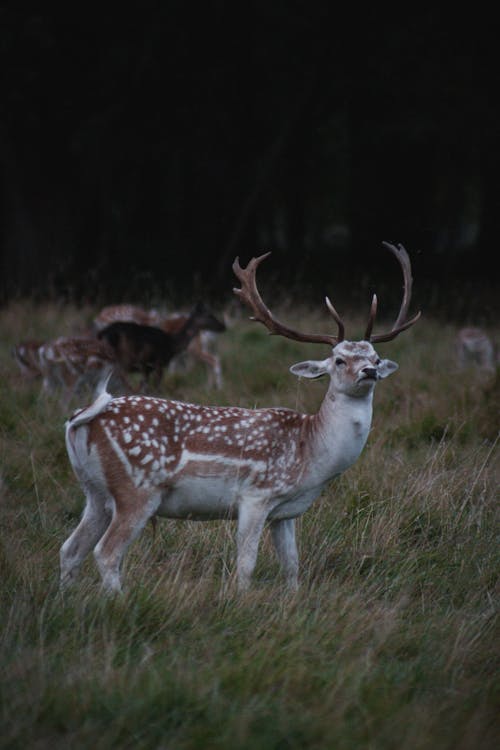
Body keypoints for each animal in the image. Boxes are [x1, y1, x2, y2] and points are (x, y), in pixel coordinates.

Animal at [96, 302, 226, 390]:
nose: (223, 326)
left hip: (195, 348)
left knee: (214, 360)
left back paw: (217, 388)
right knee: (211, 361)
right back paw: (210, 387)